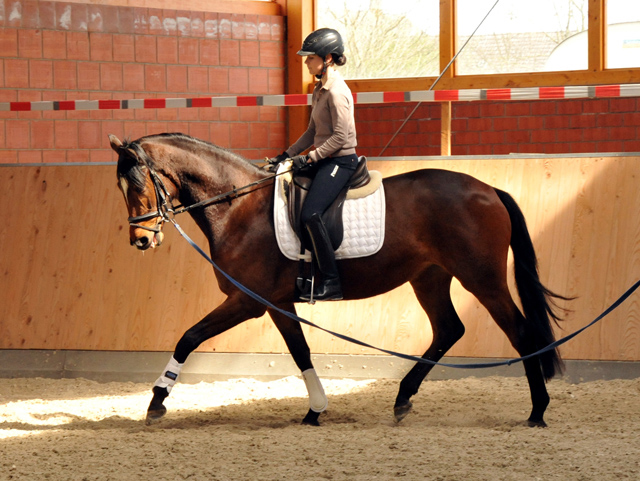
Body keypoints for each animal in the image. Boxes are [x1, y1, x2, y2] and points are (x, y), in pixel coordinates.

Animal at [107, 132, 568, 428]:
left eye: (138, 184)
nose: (140, 239)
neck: (238, 207)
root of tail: (489, 190)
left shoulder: (248, 301)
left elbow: (188, 336)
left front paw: (157, 400)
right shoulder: (278, 303)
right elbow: (301, 352)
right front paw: (316, 409)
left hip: (481, 278)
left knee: (520, 332)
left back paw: (538, 411)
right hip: (430, 277)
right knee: (449, 329)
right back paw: (403, 399)